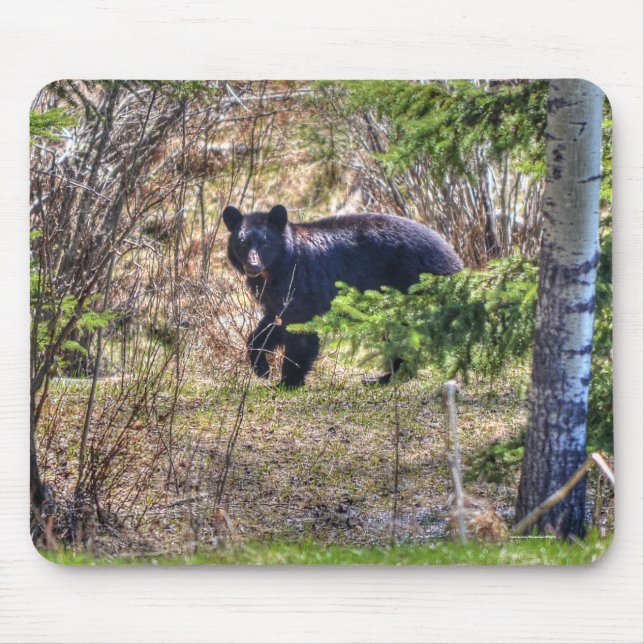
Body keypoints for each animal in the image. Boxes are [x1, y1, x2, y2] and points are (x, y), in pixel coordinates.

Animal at [223, 204, 463, 388]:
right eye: (242, 243)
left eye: (265, 243)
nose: (253, 266)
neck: (275, 270)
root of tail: (454, 258)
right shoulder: (275, 296)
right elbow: (269, 326)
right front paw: (262, 368)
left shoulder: (302, 282)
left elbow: (300, 331)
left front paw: (288, 381)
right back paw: (385, 377)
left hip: (409, 285)